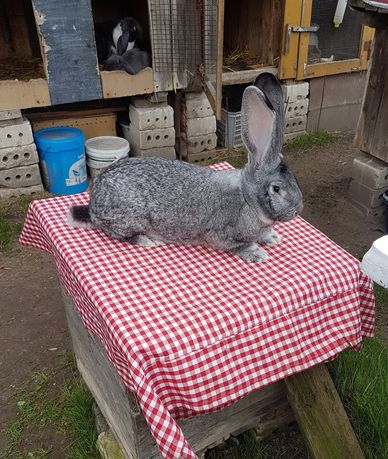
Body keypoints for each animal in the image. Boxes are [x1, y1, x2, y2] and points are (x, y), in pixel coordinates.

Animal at [67, 74, 304, 264]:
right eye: (276, 189)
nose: (298, 209)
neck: (247, 200)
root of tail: (93, 203)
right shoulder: (220, 234)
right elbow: (237, 245)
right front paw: (258, 253)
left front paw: (272, 237)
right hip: (130, 217)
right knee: (114, 232)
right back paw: (146, 240)